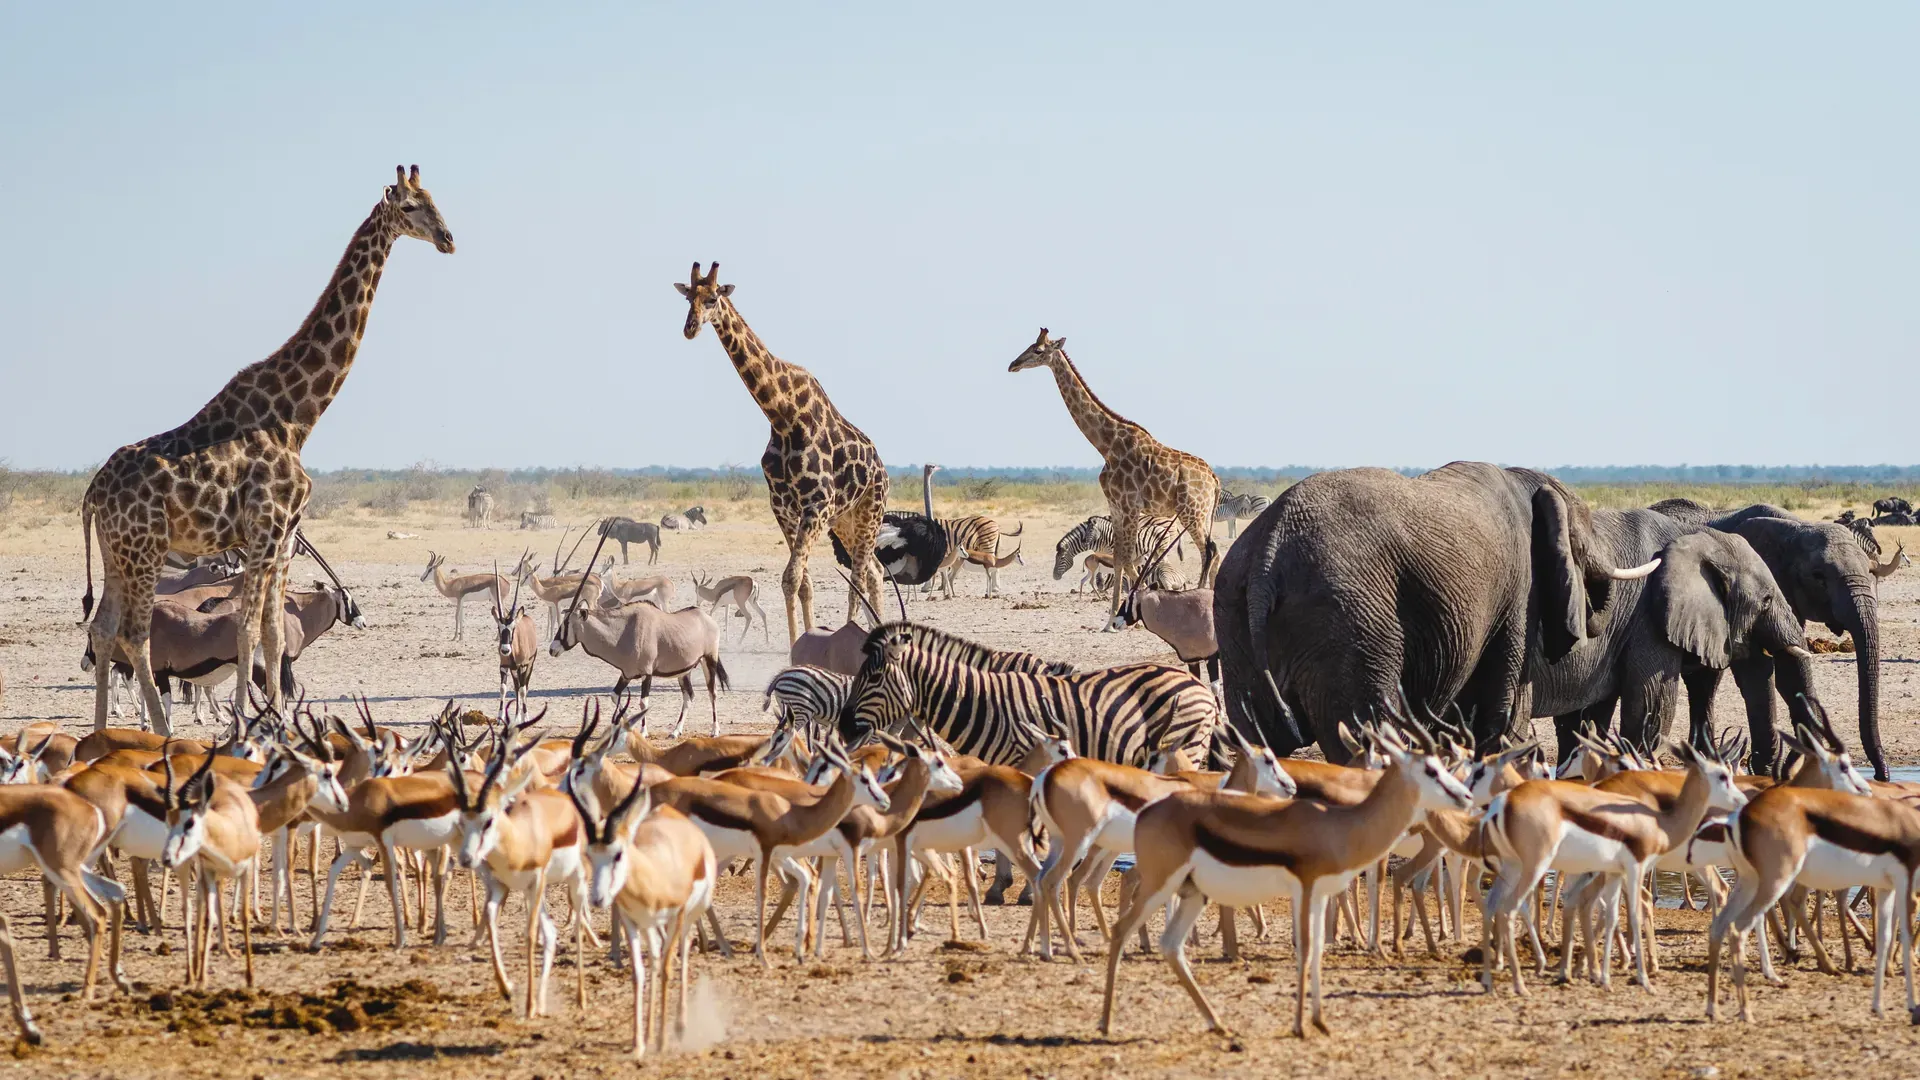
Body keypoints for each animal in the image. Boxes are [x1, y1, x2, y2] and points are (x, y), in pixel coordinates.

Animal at [81, 166, 455, 734]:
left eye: (435, 200)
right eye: (411, 207)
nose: (448, 239)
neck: (297, 417)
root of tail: (93, 492)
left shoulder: (284, 538)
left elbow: (276, 635)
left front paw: (276, 722)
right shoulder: (265, 532)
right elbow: (247, 632)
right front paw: (243, 723)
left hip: (115, 551)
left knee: (102, 628)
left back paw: (102, 732)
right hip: (145, 550)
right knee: (135, 635)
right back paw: (161, 731)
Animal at [675, 262, 888, 643]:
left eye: (713, 298)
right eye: (689, 298)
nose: (690, 328)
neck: (783, 416)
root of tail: (883, 470)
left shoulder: (816, 506)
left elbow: (792, 577)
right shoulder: (784, 509)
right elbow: (800, 583)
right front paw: (799, 641)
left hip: (870, 512)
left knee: (860, 577)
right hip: (846, 521)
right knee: (875, 571)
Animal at [1008, 328, 1220, 629]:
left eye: (1038, 350)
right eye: (1028, 345)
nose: (1012, 364)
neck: (1106, 445)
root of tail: (1214, 479)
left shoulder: (1130, 506)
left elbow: (1130, 561)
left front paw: (1134, 613)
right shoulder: (1116, 506)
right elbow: (1120, 559)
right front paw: (1109, 620)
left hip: (1193, 511)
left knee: (1209, 551)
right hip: (1201, 513)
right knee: (1214, 552)